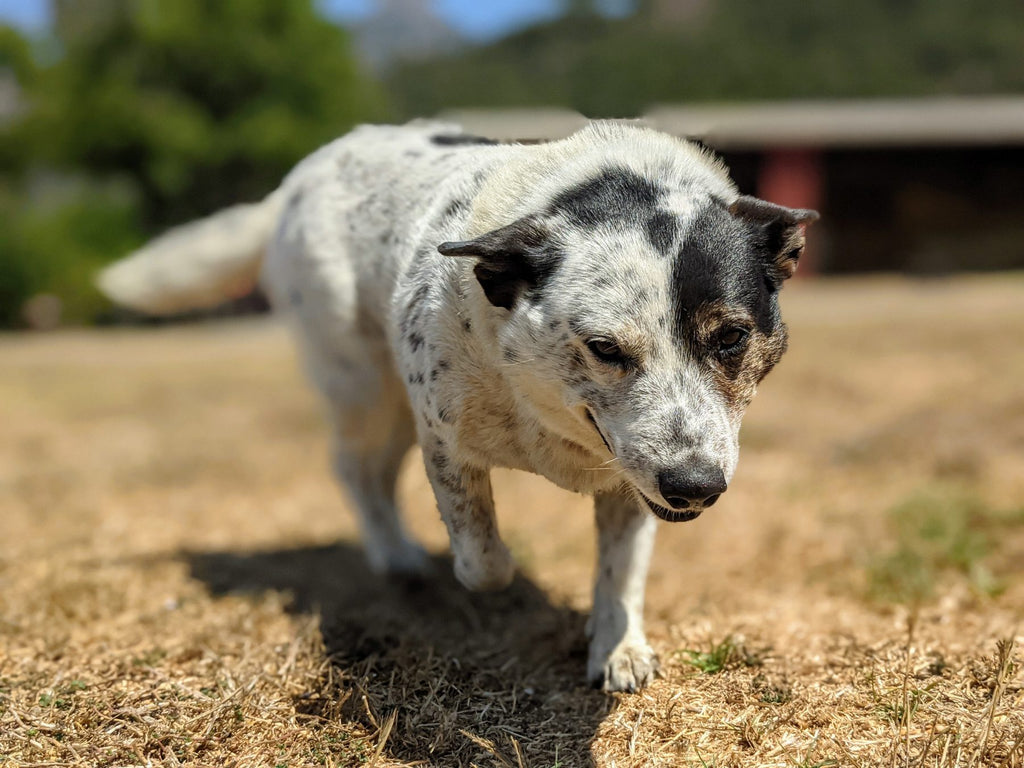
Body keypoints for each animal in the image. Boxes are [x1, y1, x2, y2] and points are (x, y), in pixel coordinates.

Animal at [101, 121, 815, 696]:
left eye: (732, 337)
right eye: (604, 348)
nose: (696, 486)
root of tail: (290, 187)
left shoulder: (632, 480)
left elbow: (622, 569)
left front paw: (619, 648)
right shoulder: (446, 441)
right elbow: (485, 561)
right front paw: (494, 584)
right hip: (367, 388)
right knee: (355, 469)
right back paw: (398, 559)